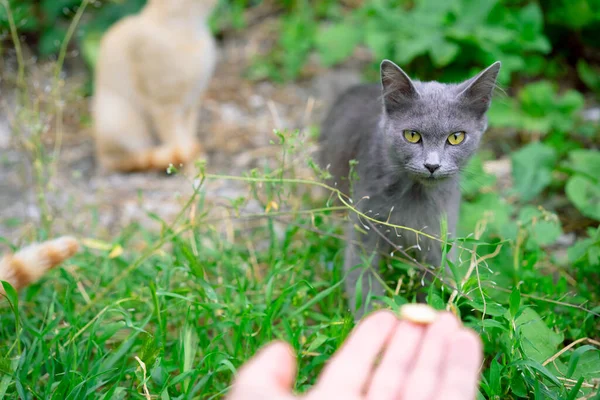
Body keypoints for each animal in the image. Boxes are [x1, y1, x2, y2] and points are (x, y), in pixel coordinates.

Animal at [92, 0, 217, 170]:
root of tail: (101, 155)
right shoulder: (164, 106)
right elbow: (178, 140)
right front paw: (191, 167)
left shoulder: (191, 103)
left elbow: (187, 134)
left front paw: (198, 164)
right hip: (116, 115)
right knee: (130, 156)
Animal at [318, 60, 502, 316]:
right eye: (412, 135)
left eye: (456, 137)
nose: (432, 165)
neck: (415, 195)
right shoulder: (364, 227)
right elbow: (363, 276)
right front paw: (369, 315)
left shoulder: (438, 233)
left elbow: (438, 280)